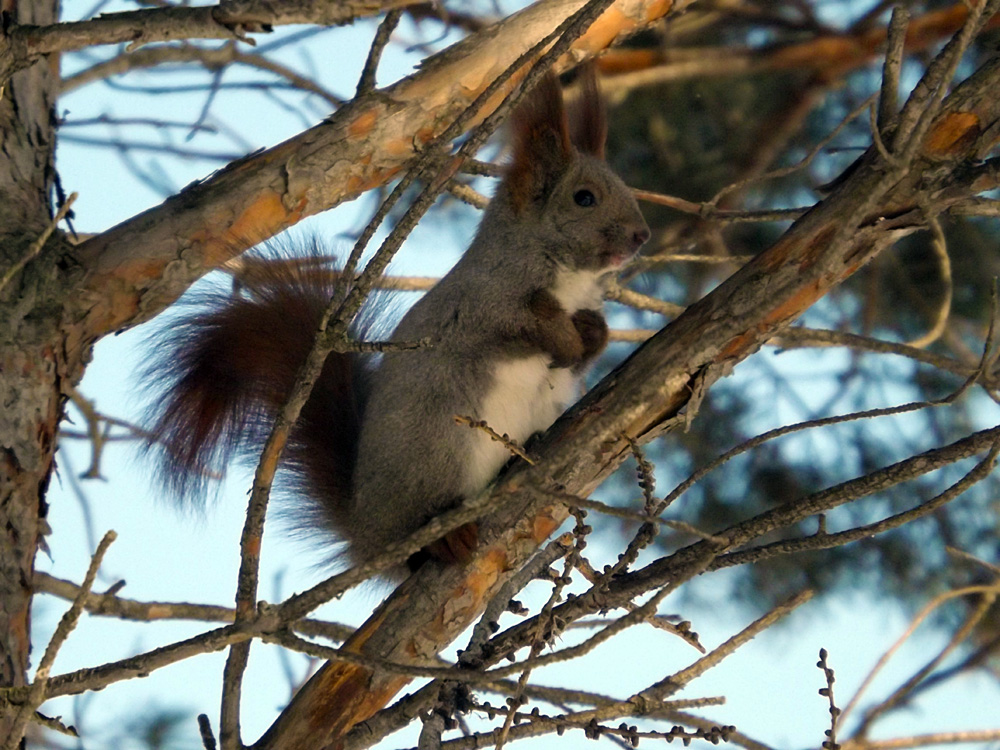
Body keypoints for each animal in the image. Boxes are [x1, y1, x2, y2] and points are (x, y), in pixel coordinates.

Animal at [145, 70, 652, 572]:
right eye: (584, 198)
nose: (642, 235)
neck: (569, 281)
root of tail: (366, 533)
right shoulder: (482, 303)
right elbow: (517, 325)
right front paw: (563, 339)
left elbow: (588, 348)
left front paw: (591, 335)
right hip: (439, 449)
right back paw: (444, 538)